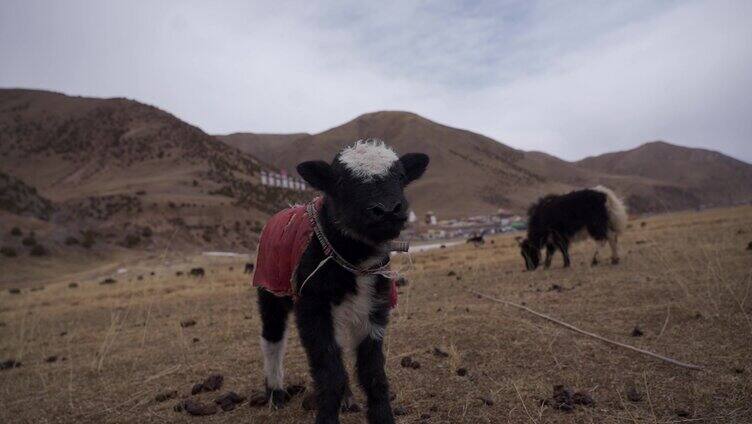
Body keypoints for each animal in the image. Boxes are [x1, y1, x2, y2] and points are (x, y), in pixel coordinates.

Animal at [253, 140, 428, 424]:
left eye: (401, 176)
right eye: (341, 181)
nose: (387, 210)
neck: (355, 261)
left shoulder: (374, 309)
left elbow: (373, 374)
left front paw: (382, 417)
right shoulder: (313, 308)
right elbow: (328, 372)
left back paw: (346, 398)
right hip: (270, 289)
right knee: (272, 338)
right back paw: (274, 393)